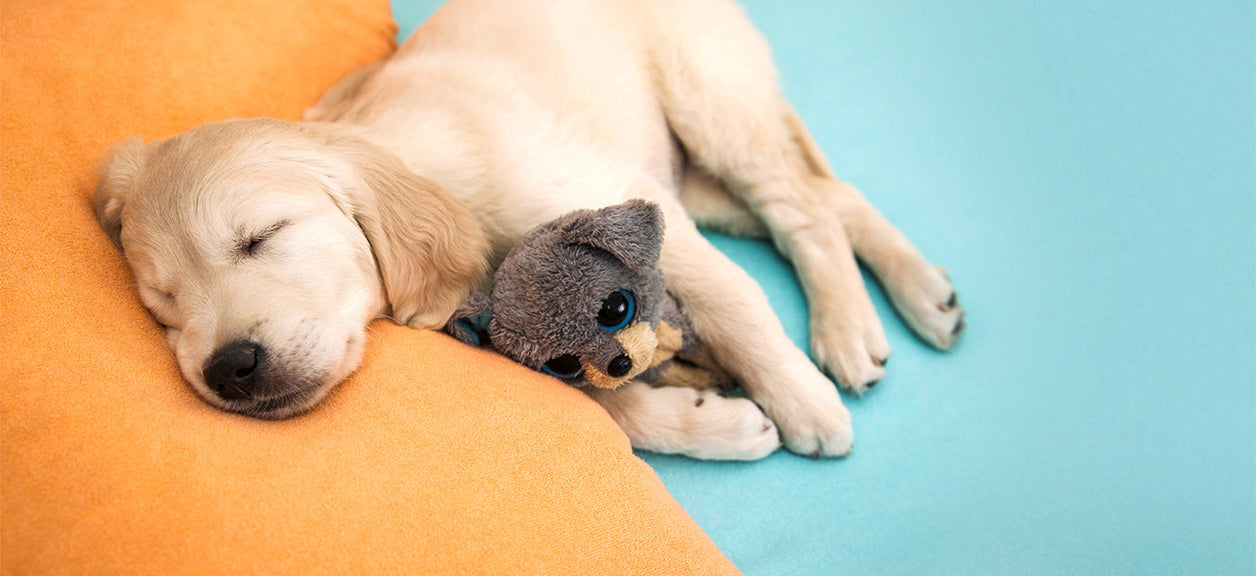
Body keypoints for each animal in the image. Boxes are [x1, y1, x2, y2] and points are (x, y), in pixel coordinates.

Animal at [97, 0, 964, 459]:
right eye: (165, 309)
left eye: (263, 237)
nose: (229, 369)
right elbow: (610, 406)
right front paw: (708, 421)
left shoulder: (632, 202)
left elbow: (737, 303)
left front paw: (800, 404)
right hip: (695, 169)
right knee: (831, 192)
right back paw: (922, 297)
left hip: (708, 103)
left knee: (801, 209)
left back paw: (845, 333)